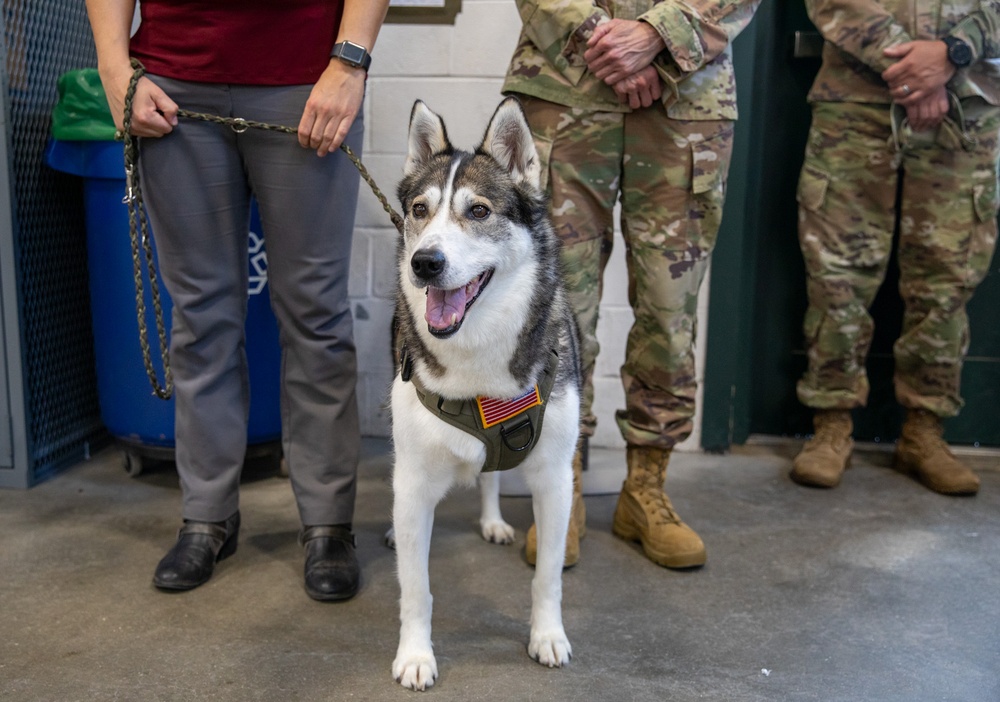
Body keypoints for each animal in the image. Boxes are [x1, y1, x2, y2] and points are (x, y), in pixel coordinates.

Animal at [388, 99, 580, 692]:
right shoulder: (414, 479)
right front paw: (416, 655)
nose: (424, 263)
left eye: (478, 211)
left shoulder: (555, 478)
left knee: (492, 477)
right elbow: (416, 586)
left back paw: (493, 520)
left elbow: (548, 577)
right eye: (420, 209)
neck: (476, 352)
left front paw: (547, 636)